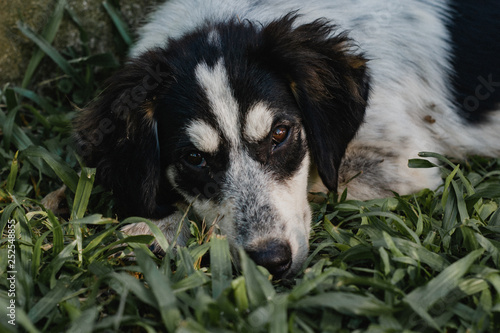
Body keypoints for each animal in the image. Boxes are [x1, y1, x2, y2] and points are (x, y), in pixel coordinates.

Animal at [74, 0, 500, 278]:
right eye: (194, 158)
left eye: (280, 134)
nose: (272, 263)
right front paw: (155, 224)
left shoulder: (404, 164)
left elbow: (322, 182)